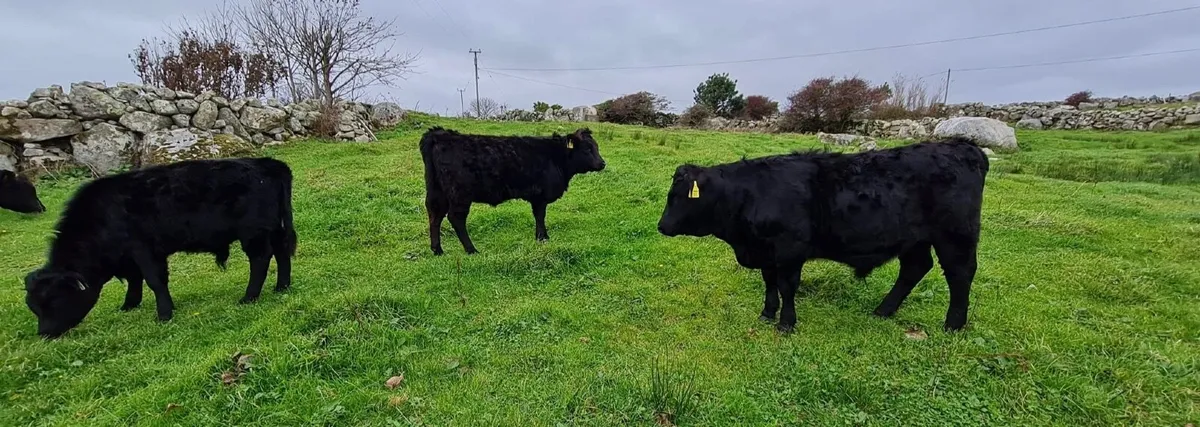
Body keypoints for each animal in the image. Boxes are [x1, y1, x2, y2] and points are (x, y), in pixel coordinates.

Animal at [23, 157, 297, 338]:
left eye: (55, 300)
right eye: (33, 307)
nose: (44, 334)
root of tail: (269, 163)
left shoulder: (145, 250)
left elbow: (154, 280)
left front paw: (164, 314)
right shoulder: (129, 258)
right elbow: (135, 279)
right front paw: (129, 305)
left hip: (254, 233)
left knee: (261, 259)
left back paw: (249, 297)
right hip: (276, 228)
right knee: (282, 253)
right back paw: (281, 286)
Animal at [420, 126, 606, 255]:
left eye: (597, 147)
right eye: (587, 149)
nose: (603, 163)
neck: (556, 158)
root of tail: (440, 134)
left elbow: (538, 216)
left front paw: (541, 237)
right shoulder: (540, 195)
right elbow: (540, 215)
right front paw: (543, 238)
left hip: (438, 191)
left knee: (435, 216)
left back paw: (437, 250)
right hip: (460, 194)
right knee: (455, 218)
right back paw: (471, 249)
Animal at [657, 138, 988, 333]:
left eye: (678, 197)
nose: (661, 226)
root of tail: (964, 146)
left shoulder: (790, 250)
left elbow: (787, 286)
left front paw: (786, 323)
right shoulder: (766, 251)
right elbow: (769, 282)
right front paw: (767, 313)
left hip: (955, 235)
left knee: (960, 274)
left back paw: (953, 324)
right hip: (914, 239)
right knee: (915, 269)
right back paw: (883, 311)